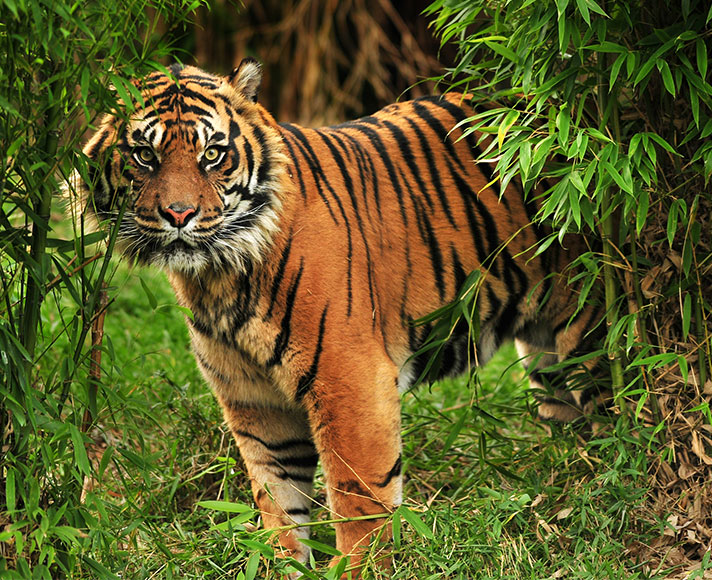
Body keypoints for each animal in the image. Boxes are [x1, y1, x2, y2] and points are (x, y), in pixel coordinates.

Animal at [67, 59, 604, 576]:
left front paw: (359, 568)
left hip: (591, 324)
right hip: (547, 358)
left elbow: (360, 499)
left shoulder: (351, 381)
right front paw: (282, 567)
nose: (179, 214)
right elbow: (278, 503)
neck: (218, 275)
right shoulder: (255, 400)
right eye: (144, 155)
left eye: (212, 155)